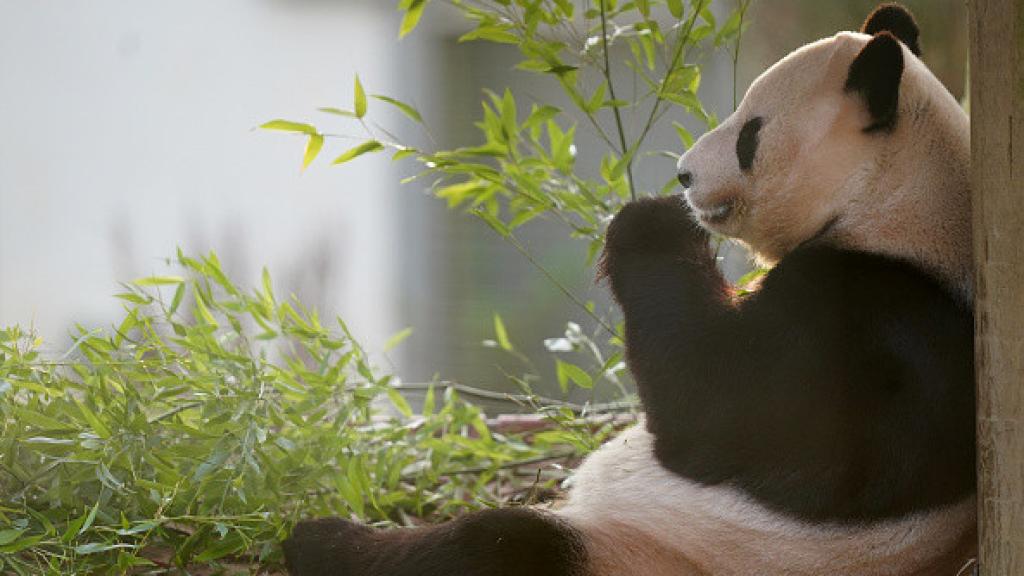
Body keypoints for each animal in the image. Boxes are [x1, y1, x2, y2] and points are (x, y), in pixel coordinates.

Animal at [283, 4, 976, 575]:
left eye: (749, 134)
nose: (685, 173)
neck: (893, 200)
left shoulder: (869, 315)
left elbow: (722, 410)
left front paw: (650, 221)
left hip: (647, 557)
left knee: (501, 548)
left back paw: (320, 541)